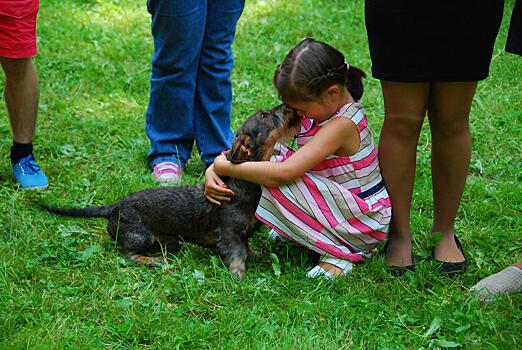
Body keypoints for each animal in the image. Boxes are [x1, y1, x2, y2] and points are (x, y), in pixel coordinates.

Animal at [39, 104, 300, 278]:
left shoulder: (242, 235)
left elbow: (247, 248)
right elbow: (237, 254)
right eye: (264, 115)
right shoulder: (229, 235)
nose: (288, 106)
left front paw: (257, 256)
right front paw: (239, 275)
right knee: (127, 255)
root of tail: (115, 207)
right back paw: (152, 260)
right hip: (139, 236)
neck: (243, 183)